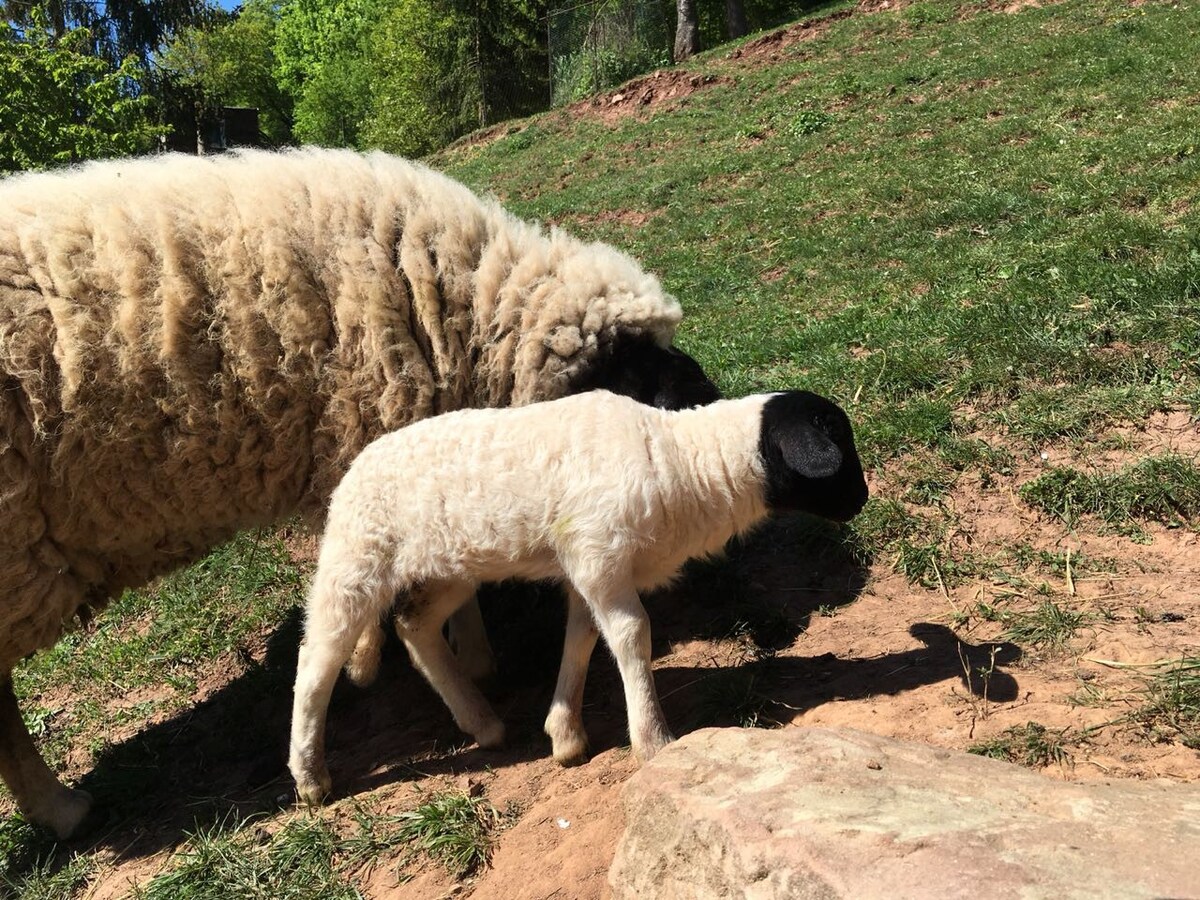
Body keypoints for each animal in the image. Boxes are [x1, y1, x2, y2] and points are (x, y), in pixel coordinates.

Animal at [285, 388, 868, 801]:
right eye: (836, 440)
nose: (862, 499)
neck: (680, 464)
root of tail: (353, 470)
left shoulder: (589, 568)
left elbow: (583, 638)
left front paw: (564, 734)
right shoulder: (598, 552)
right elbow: (632, 635)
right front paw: (653, 741)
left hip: (450, 567)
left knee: (415, 626)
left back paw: (483, 723)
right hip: (356, 559)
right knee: (317, 660)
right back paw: (310, 778)